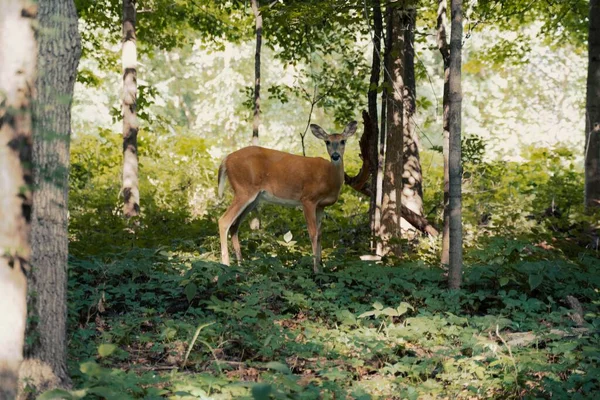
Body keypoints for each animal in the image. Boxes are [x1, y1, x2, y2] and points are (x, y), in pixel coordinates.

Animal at [218, 120, 356, 274]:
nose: (335, 156)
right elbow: (313, 233)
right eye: (327, 142)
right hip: (243, 189)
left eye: (343, 141)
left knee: (234, 225)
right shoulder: (308, 199)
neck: (329, 177)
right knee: (224, 221)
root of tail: (225, 160)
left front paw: (321, 266)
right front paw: (315, 269)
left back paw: (241, 265)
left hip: (253, 198)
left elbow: (320, 233)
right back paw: (225, 264)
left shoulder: (321, 205)